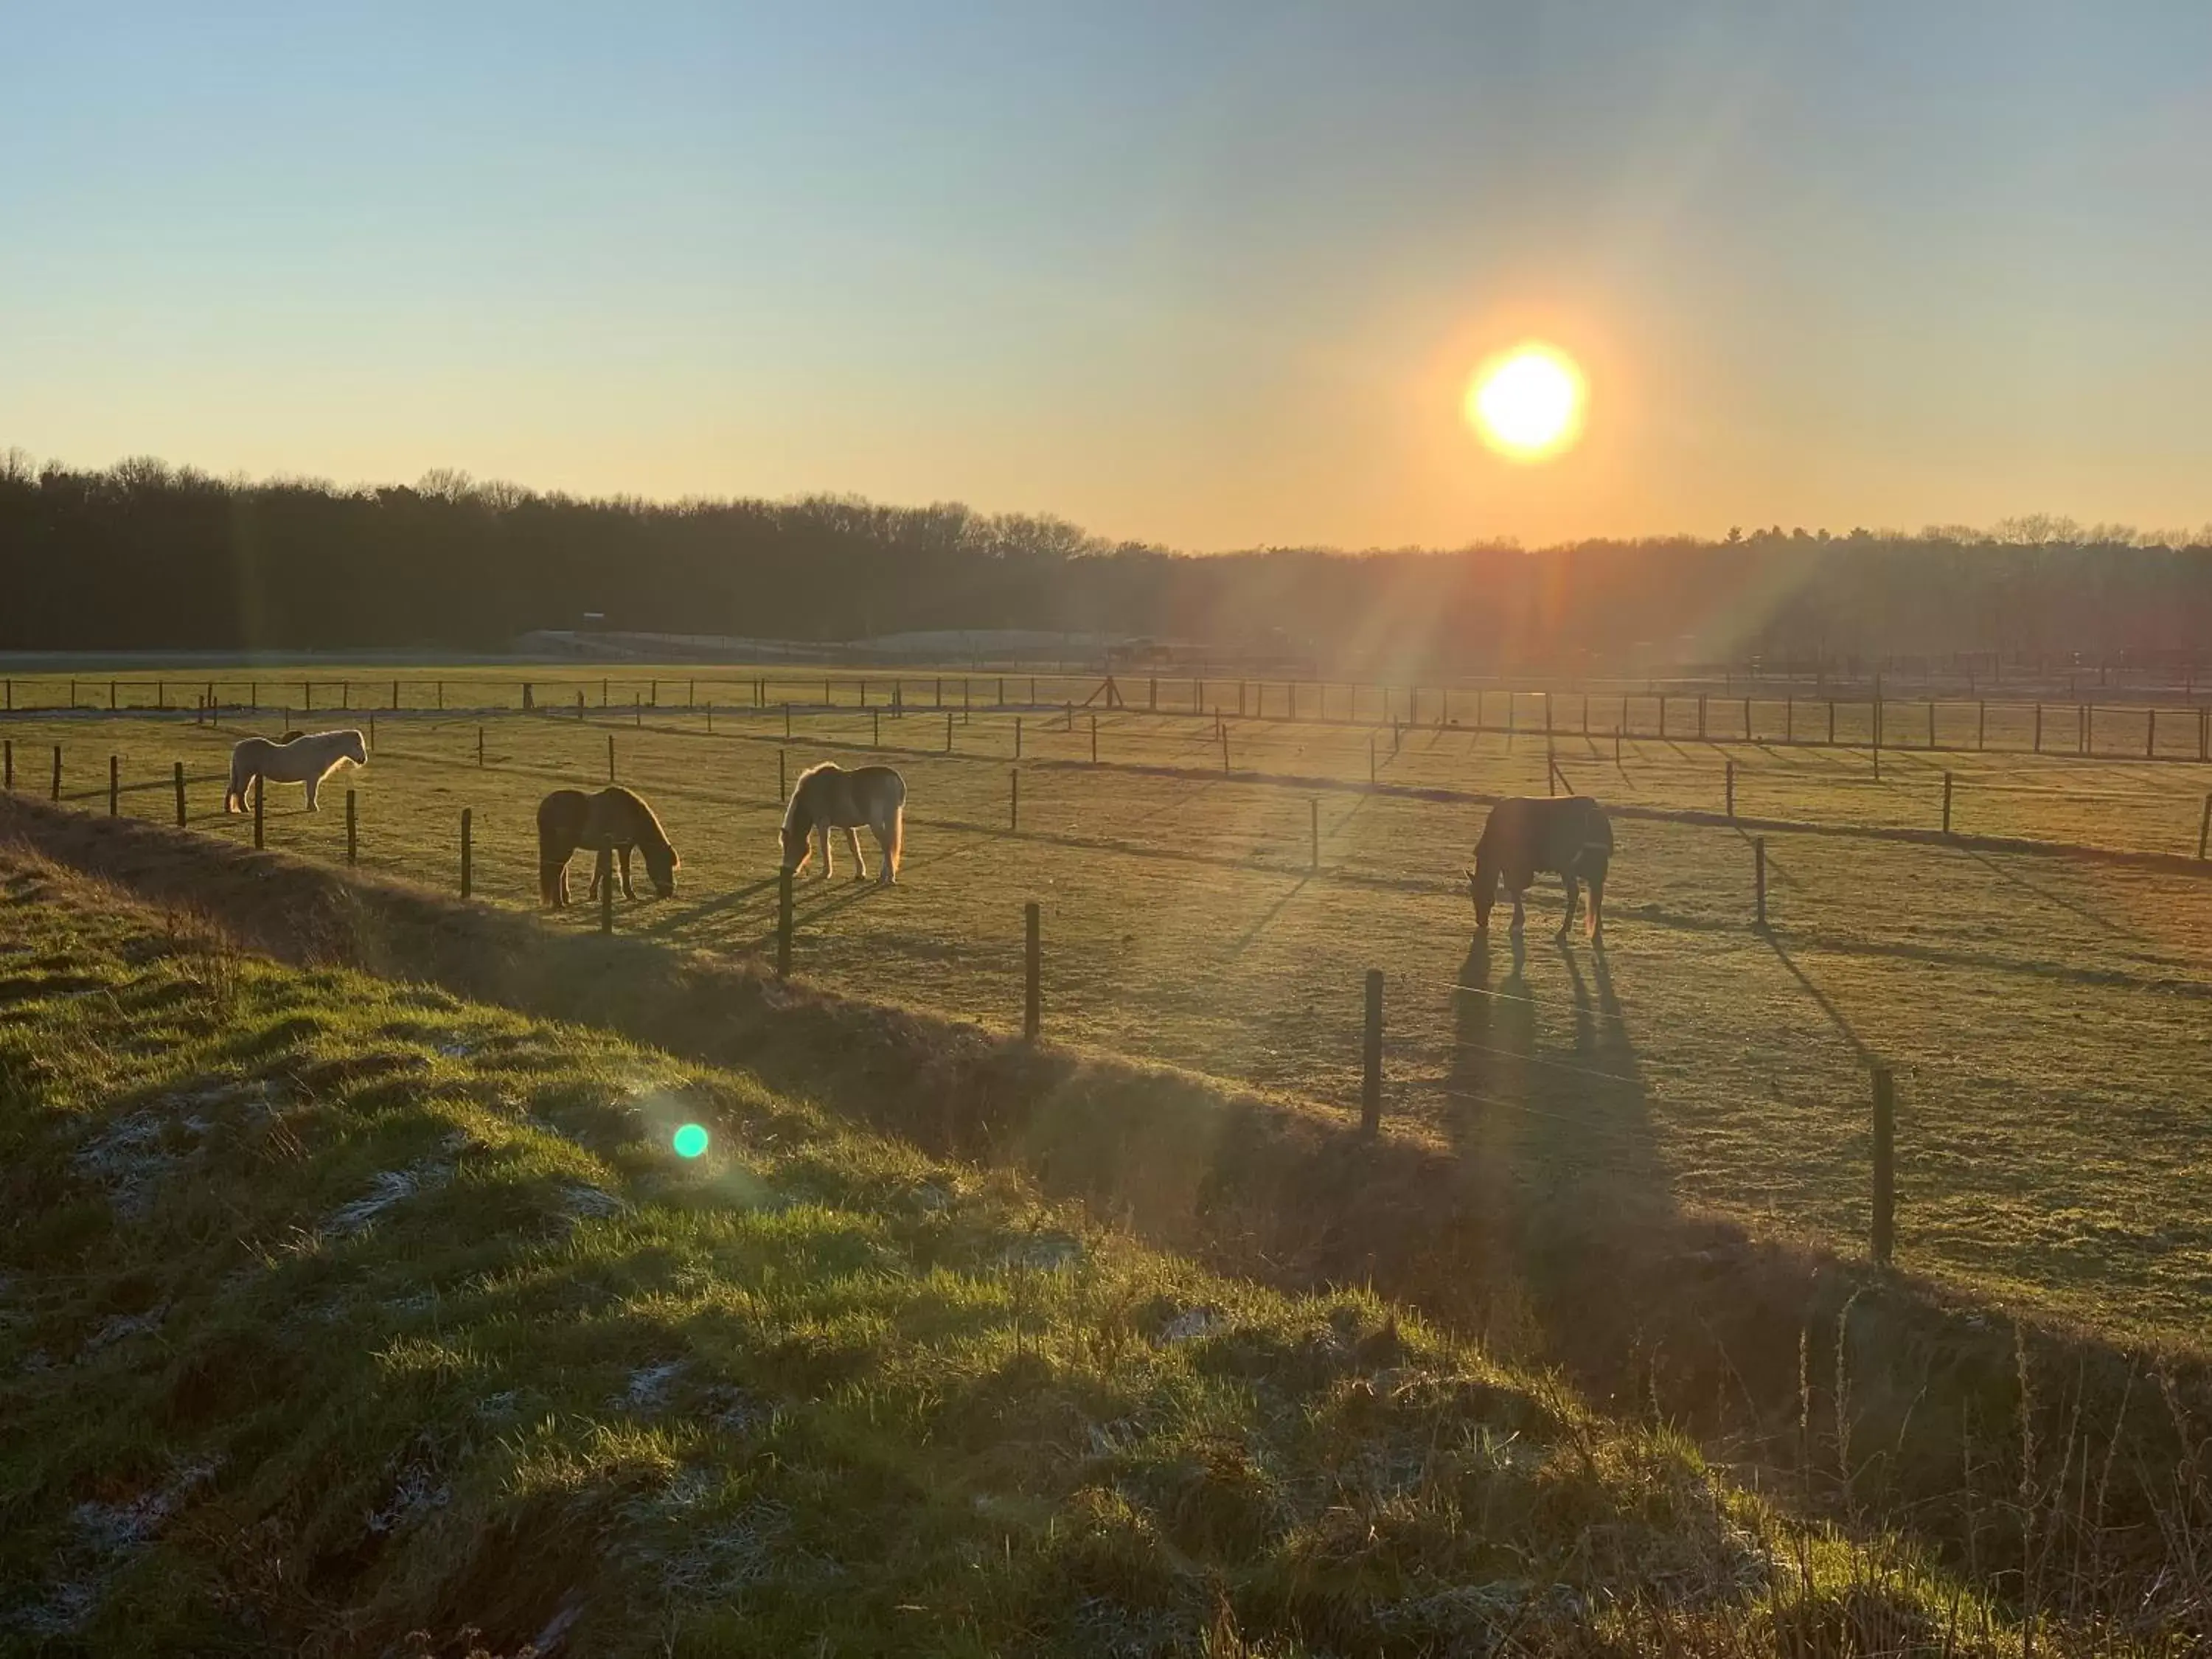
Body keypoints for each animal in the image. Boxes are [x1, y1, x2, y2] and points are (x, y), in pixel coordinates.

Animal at [226, 734, 367, 818]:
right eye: (358, 744)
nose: (363, 760)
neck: (321, 750)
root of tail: (239, 746)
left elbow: (311, 794)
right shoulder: (313, 778)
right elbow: (312, 794)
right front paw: (313, 808)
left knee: (233, 790)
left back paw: (230, 809)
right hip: (246, 774)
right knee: (241, 791)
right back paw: (245, 809)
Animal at [533, 787, 672, 911]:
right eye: (664, 865)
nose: (669, 893)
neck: (631, 814)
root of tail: (546, 806)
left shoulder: (605, 848)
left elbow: (599, 870)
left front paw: (593, 894)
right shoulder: (624, 848)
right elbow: (625, 870)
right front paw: (630, 894)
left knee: (561, 870)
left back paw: (566, 899)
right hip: (564, 847)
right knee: (558, 871)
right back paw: (559, 903)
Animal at [787, 765, 907, 889]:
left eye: (790, 845)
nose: (789, 870)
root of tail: (894, 777)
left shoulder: (823, 824)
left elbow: (825, 847)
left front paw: (826, 873)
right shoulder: (847, 826)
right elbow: (854, 848)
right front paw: (860, 873)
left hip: (877, 823)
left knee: (886, 846)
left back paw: (890, 878)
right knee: (890, 845)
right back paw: (883, 877)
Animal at [1460, 796, 1619, 942]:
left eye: (1478, 895)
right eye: (1472, 895)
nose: (1481, 922)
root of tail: (1596, 814)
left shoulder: (1515, 866)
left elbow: (1514, 889)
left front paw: (1517, 921)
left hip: (1568, 867)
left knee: (1576, 893)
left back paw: (1565, 930)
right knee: (1597, 895)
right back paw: (1597, 927)